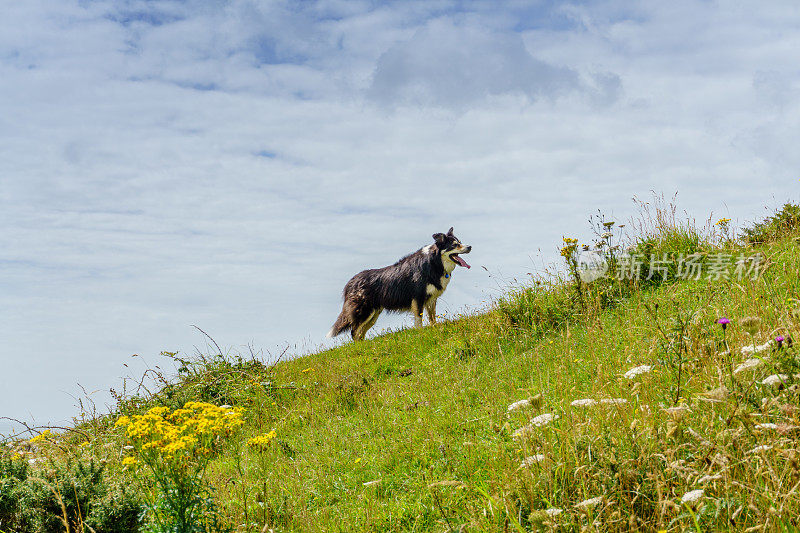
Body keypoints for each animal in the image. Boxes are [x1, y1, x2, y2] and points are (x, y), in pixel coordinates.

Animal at [328, 227, 472, 338]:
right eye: (454, 245)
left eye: (460, 242)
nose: (470, 247)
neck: (434, 262)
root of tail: (350, 283)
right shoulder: (418, 298)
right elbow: (419, 319)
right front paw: (420, 333)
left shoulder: (431, 299)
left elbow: (432, 318)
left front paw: (434, 328)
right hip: (364, 311)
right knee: (354, 332)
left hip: (374, 314)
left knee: (360, 333)